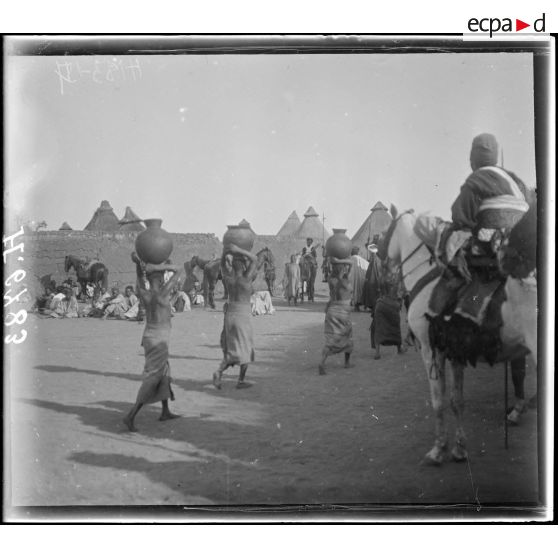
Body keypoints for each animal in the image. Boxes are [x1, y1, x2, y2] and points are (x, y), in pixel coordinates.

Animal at [382, 208, 536, 466]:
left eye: (385, 232)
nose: (382, 266)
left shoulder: (431, 350)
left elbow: (438, 401)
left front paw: (438, 449)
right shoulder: (455, 353)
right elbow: (457, 401)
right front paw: (459, 448)